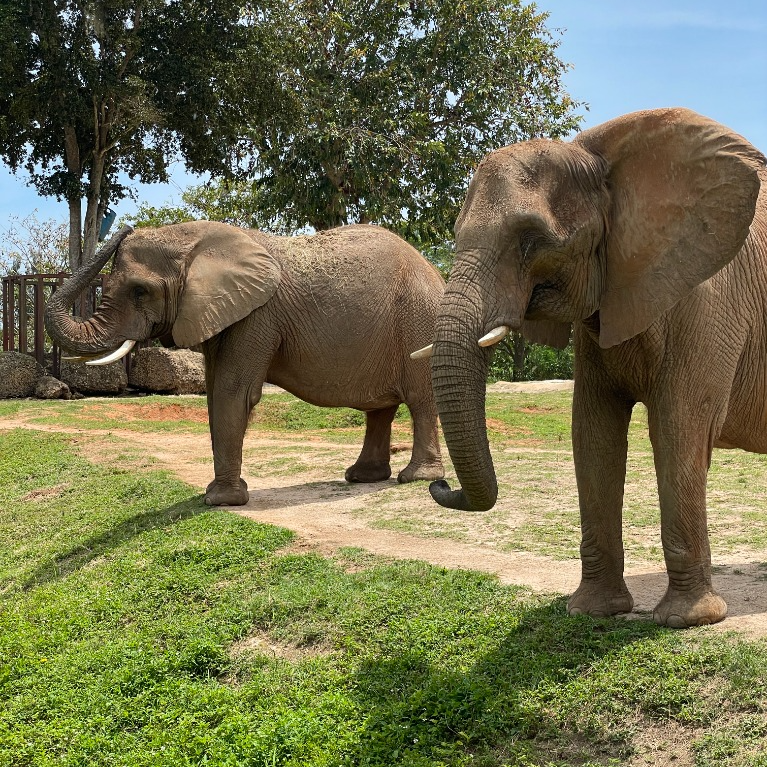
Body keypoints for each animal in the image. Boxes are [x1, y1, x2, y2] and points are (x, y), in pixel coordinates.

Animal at [45, 221, 445, 505]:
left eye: (140, 291)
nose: (125, 225)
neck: (194, 241)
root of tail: (433, 271)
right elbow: (214, 392)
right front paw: (219, 494)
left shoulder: (257, 316)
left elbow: (233, 391)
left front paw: (221, 501)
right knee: (381, 410)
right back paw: (361, 477)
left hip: (419, 319)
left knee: (420, 398)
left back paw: (416, 478)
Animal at [422, 107, 766, 628]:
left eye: (532, 241)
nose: (439, 484)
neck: (599, 161)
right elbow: (593, 432)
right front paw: (592, 612)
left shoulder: (708, 300)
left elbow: (679, 429)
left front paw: (686, 620)